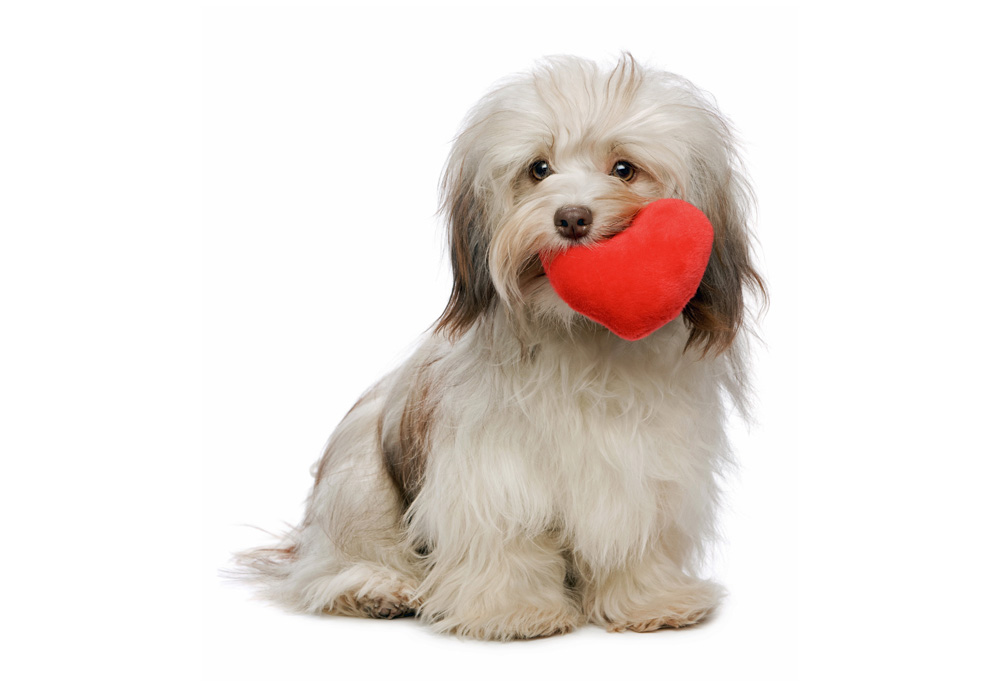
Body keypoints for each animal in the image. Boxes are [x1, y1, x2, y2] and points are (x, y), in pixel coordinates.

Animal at [236, 52, 764, 640]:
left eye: (624, 169)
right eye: (538, 169)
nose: (571, 217)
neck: (579, 333)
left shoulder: (644, 466)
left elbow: (635, 536)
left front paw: (652, 601)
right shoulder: (491, 470)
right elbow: (507, 538)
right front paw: (515, 610)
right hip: (358, 480)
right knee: (342, 558)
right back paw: (377, 589)